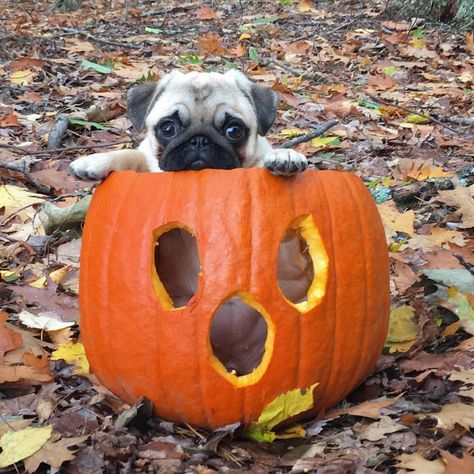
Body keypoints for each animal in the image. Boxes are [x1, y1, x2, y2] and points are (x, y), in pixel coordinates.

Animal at [69, 70, 308, 180]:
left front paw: (284, 156)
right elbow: (130, 154)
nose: (199, 140)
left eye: (233, 130)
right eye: (168, 128)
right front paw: (97, 161)